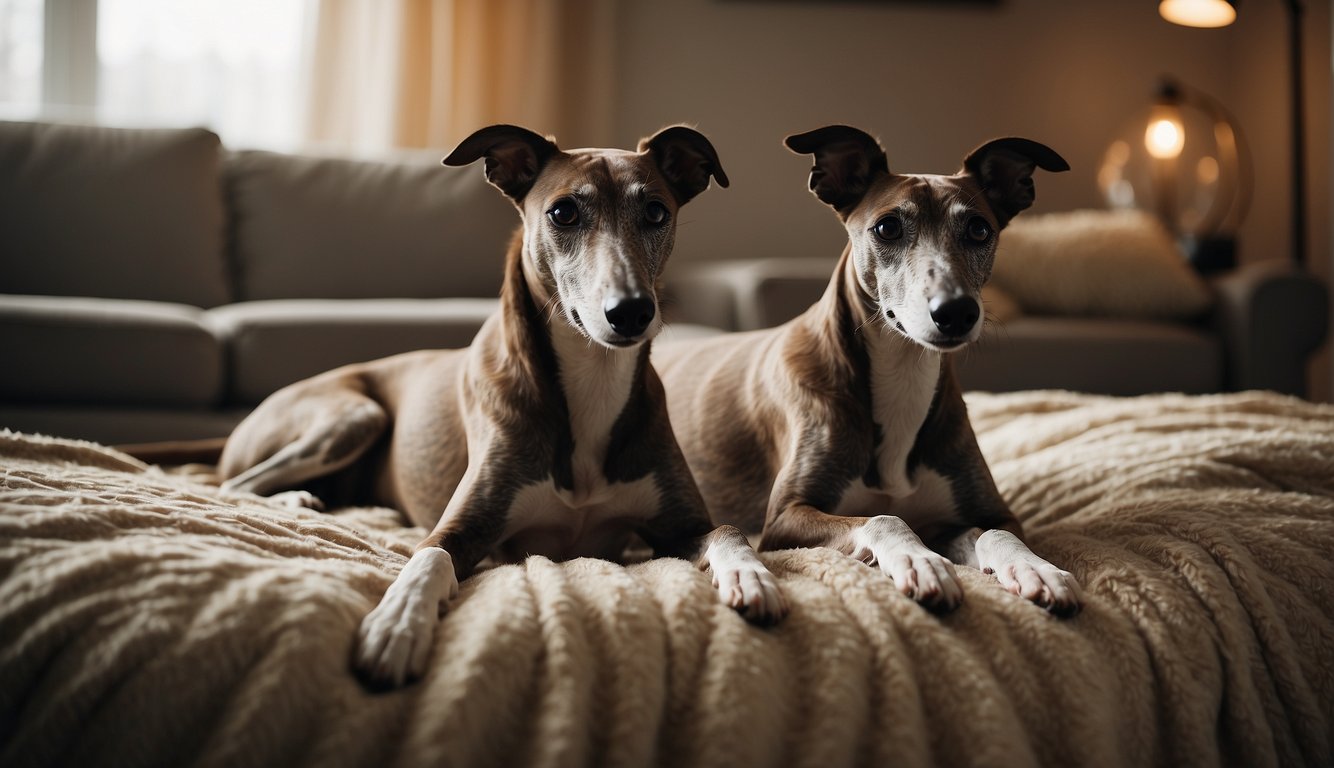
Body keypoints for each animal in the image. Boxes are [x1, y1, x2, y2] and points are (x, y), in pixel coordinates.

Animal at [214, 122, 784, 688]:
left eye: (657, 212)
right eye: (563, 212)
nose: (631, 312)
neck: (592, 380)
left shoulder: (679, 526)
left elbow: (730, 529)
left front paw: (752, 575)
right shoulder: (460, 528)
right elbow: (426, 560)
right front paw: (398, 622)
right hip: (354, 416)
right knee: (231, 484)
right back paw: (296, 500)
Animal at [656, 126, 1083, 618]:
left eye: (979, 229)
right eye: (887, 227)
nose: (956, 312)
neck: (903, 373)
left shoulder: (989, 513)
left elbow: (997, 531)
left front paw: (1038, 569)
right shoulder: (784, 518)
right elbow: (885, 515)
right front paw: (920, 560)